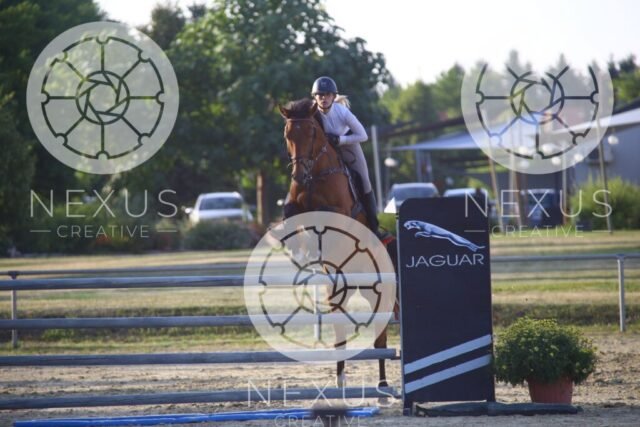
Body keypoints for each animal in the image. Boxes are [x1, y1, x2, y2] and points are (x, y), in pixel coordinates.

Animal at [278, 98, 396, 388]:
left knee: (380, 338)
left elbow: (326, 215)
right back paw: (340, 379)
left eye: (311, 133)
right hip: (338, 294)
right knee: (340, 333)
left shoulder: (340, 211)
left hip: (379, 294)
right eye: (288, 135)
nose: (300, 175)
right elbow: (290, 216)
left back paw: (382, 383)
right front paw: (299, 248)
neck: (315, 174)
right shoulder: (294, 205)